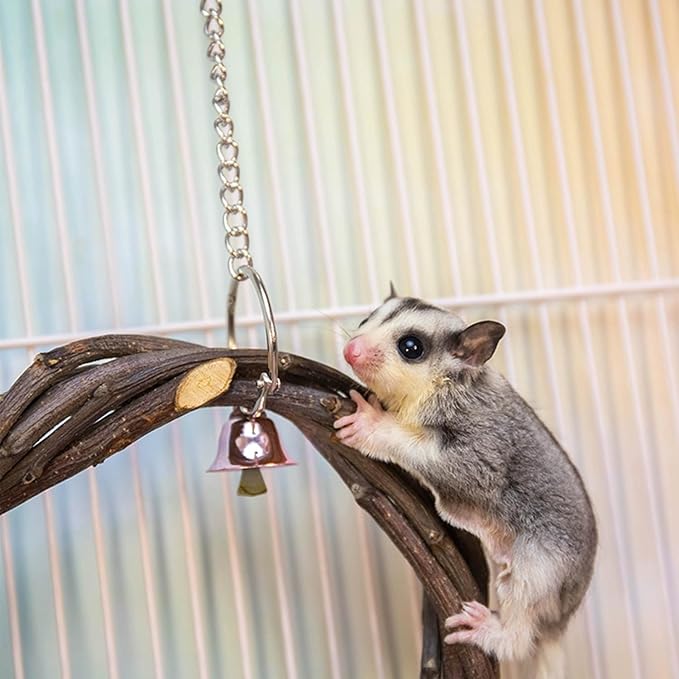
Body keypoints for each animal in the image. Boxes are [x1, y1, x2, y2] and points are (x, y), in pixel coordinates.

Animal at [333, 289, 597, 679]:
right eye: (367, 320)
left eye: (411, 347)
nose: (352, 350)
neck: (439, 388)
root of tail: (561, 621)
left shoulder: (481, 436)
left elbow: (469, 468)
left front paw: (370, 424)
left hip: (545, 566)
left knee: (522, 618)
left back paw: (490, 631)